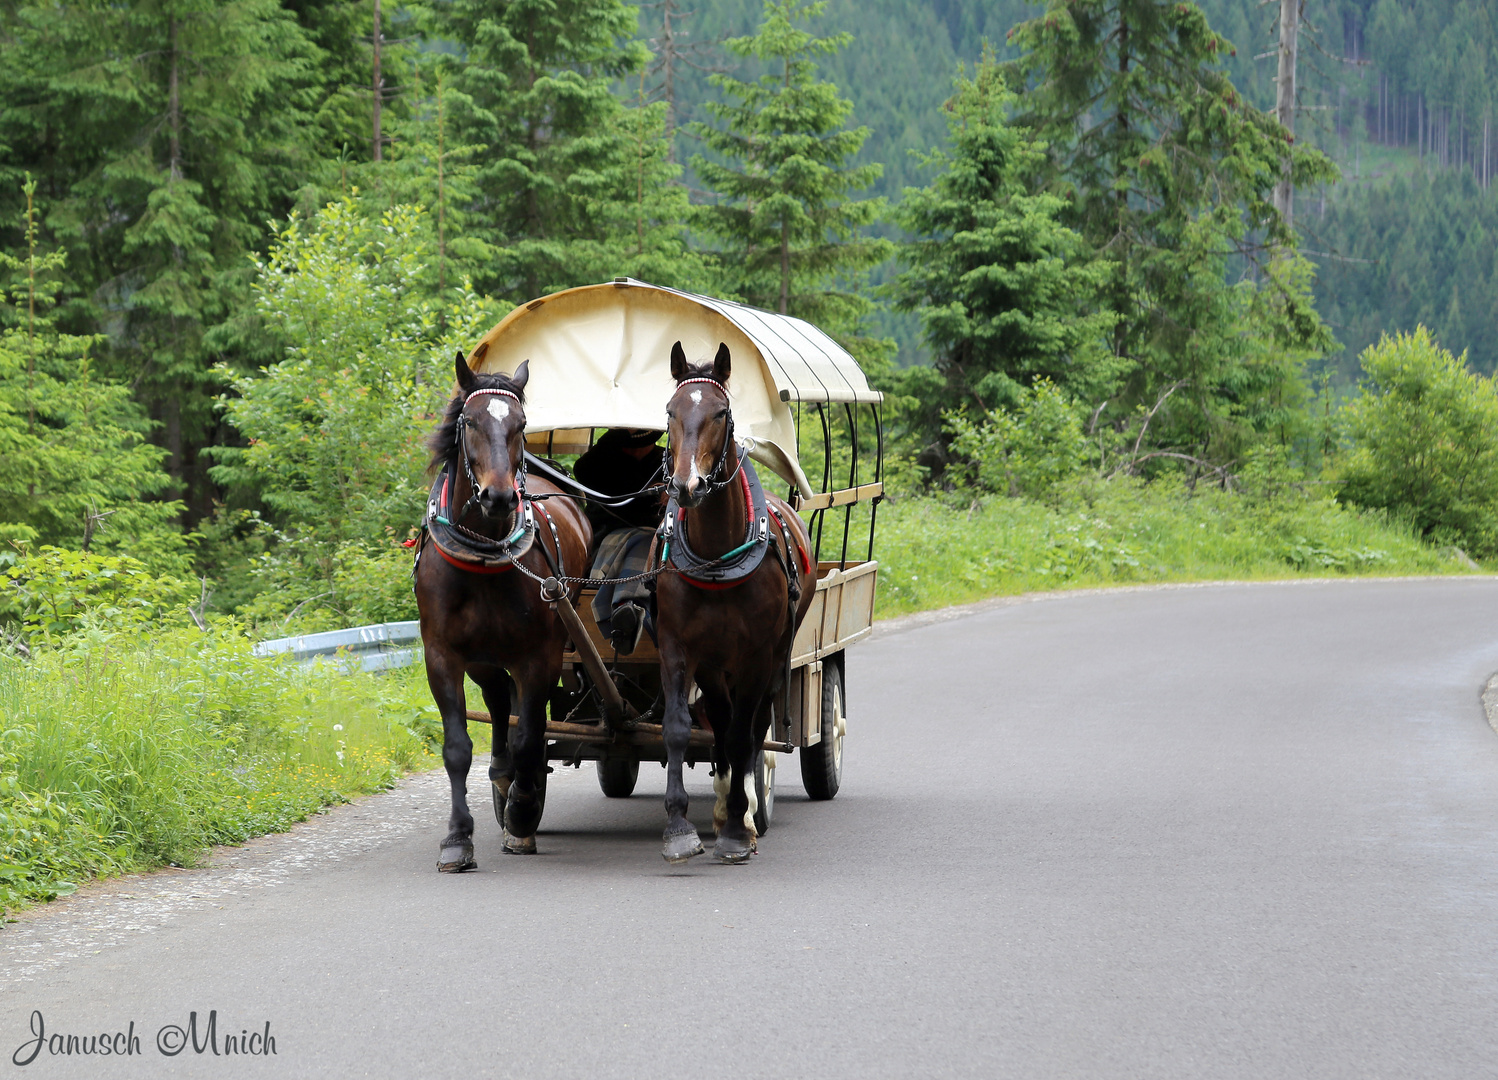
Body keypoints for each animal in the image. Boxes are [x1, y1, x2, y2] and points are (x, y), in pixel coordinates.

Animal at [419, 352, 593, 868]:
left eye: (521, 424)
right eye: (471, 421)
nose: (498, 496)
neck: (484, 558)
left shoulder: (539, 656)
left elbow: (529, 737)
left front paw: (521, 813)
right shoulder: (443, 655)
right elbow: (458, 747)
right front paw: (458, 838)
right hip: (484, 658)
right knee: (499, 704)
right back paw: (501, 774)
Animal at [659, 341, 820, 862]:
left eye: (721, 412)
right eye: (671, 411)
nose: (687, 486)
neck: (716, 557)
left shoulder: (756, 655)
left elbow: (743, 732)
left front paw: (736, 826)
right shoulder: (679, 648)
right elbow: (682, 727)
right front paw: (680, 828)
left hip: (775, 654)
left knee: (752, 727)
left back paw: (746, 809)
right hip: (715, 664)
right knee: (721, 720)